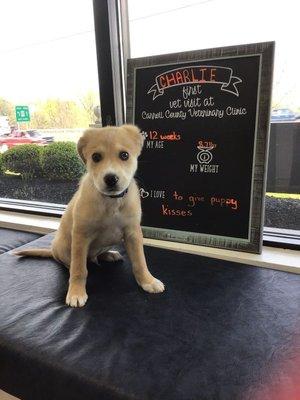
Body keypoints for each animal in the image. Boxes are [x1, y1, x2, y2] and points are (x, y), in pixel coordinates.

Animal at [14, 125, 164, 306]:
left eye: (124, 155)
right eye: (96, 157)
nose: (111, 179)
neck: (111, 201)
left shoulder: (133, 233)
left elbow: (140, 261)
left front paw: (148, 281)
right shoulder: (81, 236)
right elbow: (79, 269)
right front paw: (76, 293)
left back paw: (109, 254)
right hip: (63, 247)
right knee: (72, 263)